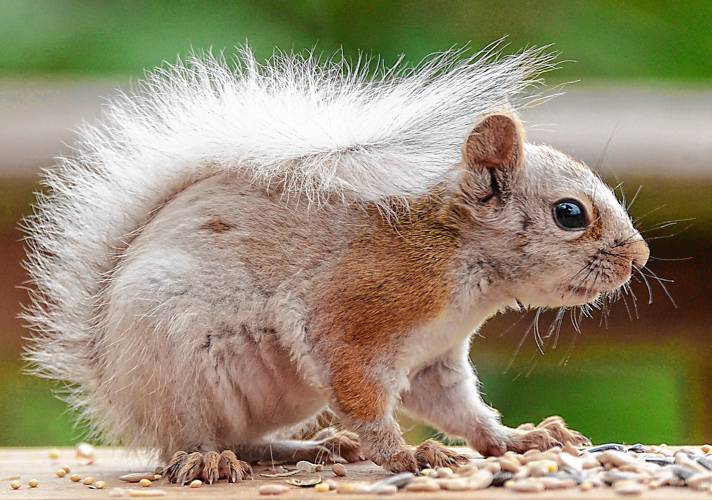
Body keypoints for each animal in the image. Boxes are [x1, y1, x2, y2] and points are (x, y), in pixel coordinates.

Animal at [22, 45, 648, 482]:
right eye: (570, 213)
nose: (638, 257)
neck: (462, 268)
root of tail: (115, 388)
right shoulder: (357, 310)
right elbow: (363, 396)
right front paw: (407, 454)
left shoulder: (433, 360)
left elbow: (459, 408)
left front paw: (521, 440)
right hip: (179, 363)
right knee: (194, 438)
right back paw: (211, 462)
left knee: (246, 438)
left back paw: (315, 447)